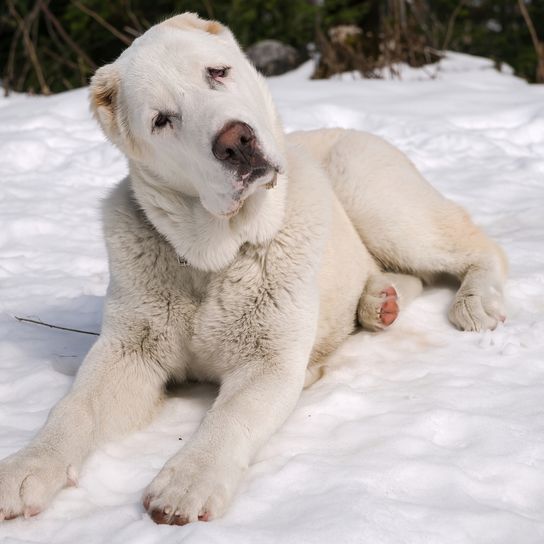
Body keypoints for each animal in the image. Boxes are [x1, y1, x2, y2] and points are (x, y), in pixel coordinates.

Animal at [0, 11, 508, 524]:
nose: (236, 141)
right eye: (162, 120)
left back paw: (474, 304)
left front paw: (188, 482)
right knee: (409, 274)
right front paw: (27, 467)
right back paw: (379, 302)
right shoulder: (127, 351)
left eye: (217, 73)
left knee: (480, 248)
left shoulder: (270, 361)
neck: (213, 260)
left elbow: (230, 416)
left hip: (372, 194)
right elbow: (74, 408)